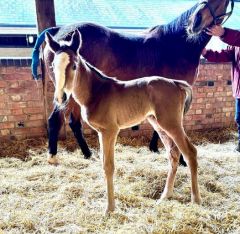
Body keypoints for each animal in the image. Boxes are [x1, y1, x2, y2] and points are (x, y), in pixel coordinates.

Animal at [46, 30, 200, 213]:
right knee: (173, 154)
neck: (97, 92)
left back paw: (196, 200)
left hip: (172, 124)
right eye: (52, 66)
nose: (60, 98)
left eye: (74, 66)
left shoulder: (110, 131)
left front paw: (110, 209)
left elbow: (108, 166)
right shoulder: (101, 133)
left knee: (190, 152)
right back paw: (165, 196)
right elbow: (103, 164)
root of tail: (177, 83)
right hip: (159, 124)